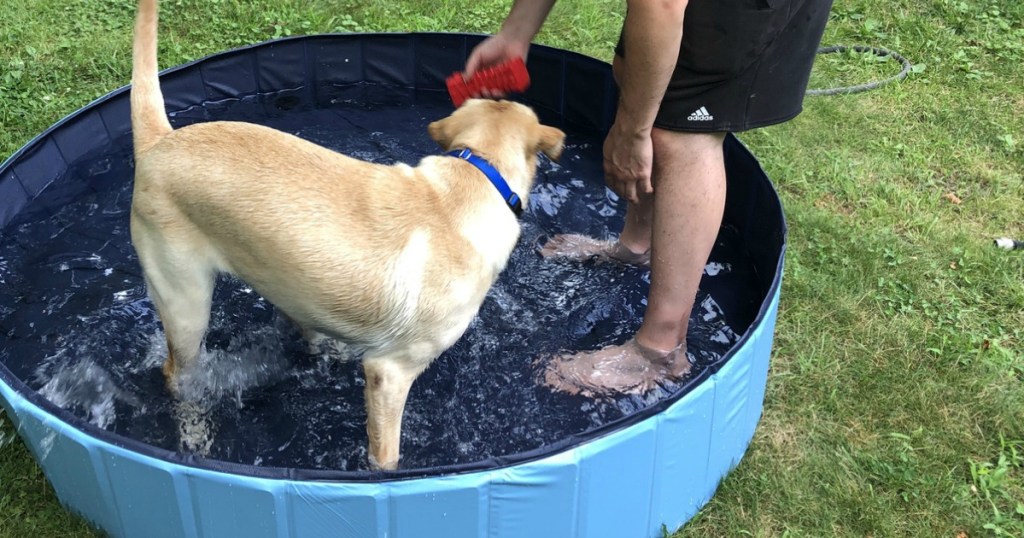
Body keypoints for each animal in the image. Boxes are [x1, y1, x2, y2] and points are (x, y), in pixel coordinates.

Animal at [126, 0, 565, 469]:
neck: (477, 173)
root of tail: (160, 141)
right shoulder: (390, 371)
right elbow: (386, 455)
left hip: (284, 279)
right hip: (185, 301)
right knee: (178, 376)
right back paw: (194, 435)